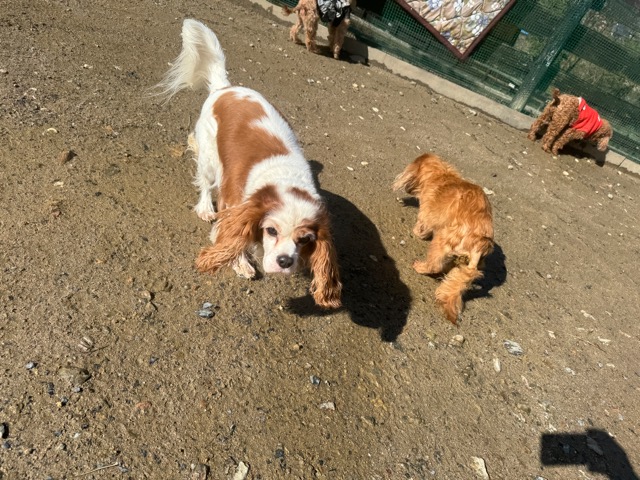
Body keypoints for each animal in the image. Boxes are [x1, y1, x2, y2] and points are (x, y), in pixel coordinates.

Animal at [155, 19, 342, 309]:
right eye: (271, 231)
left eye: (304, 240)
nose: (285, 261)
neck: (283, 179)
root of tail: (225, 88)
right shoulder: (234, 207)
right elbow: (230, 237)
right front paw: (240, 263)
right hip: (210, 159)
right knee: (205, 183)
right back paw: (205, 208)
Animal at [393, 153, 494, 324]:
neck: (442, 175)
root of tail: (479, 243)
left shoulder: (427, 215)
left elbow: (422, 227)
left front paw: (417, 232)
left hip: (442, 240)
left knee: (434, 265)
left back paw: (421, 266)